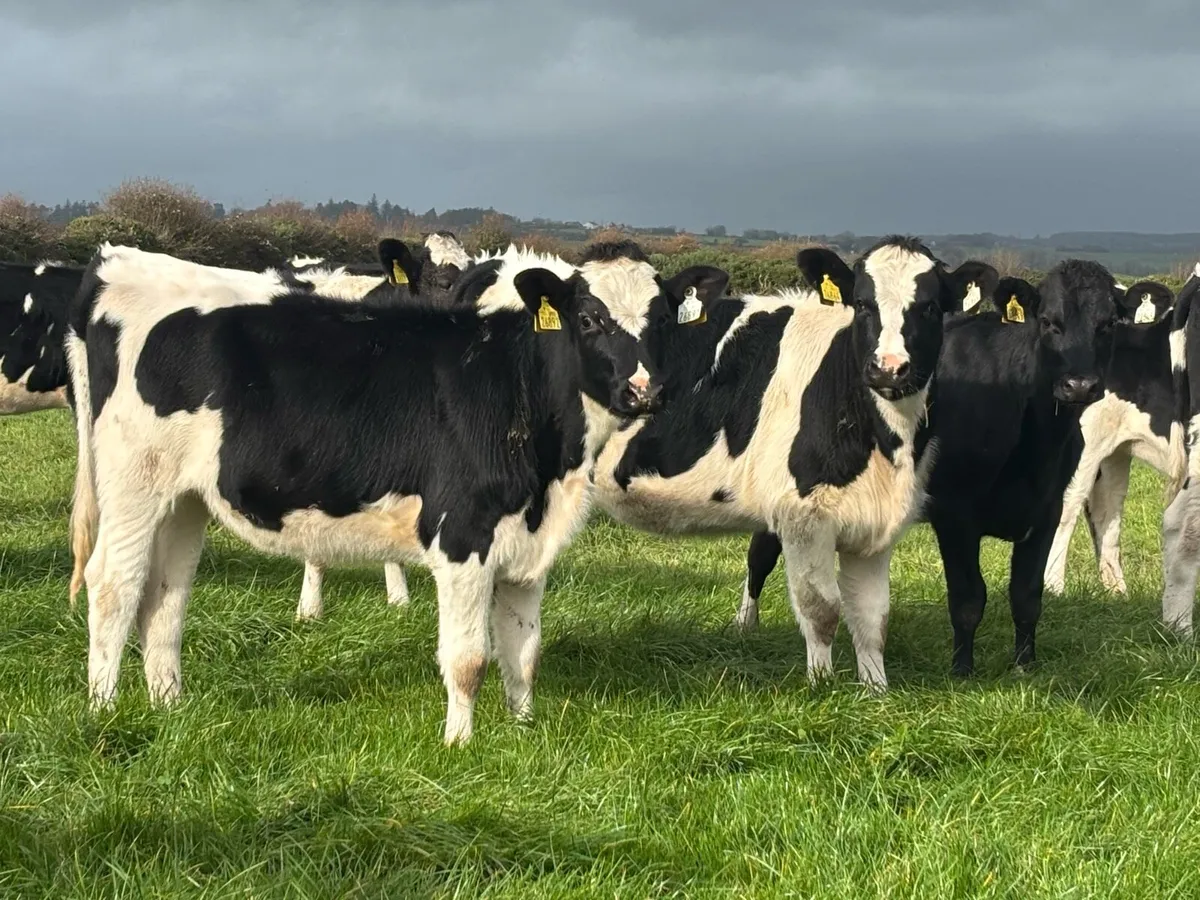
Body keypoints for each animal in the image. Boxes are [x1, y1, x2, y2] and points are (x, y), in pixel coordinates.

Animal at [71, 239, 726, 744]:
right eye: (588, 319)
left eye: (663, 320)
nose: (644, 390)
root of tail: (117, 264)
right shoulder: (463, 534)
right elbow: (468, 659)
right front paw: (460, 744)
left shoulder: (527, 541)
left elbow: (523, 651)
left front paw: (523, 731)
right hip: (133, 483)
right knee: (113, 584)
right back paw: (103, 710)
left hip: (183, 499)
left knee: (166, 594)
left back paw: (168, 705)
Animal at [591, 237, 996, 689]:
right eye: (863, 304)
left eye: (930, 307)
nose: (889, 369)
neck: (888, 443)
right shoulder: (804, 514)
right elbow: (821, 607)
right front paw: (821, 683)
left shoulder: (876, 520)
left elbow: (873, 617)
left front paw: (876, 688)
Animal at [735, 261, 1124, 677]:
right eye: (1049, 322)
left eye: (1108, 324)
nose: (1079, 385)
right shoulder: (955, 513)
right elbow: (968, 598)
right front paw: (962, 671)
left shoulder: (1047, 509)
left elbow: (1026, 596)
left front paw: (1024, 666)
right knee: (760, 554)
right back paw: (746, 623)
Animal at [1044, 280, 1177, 595]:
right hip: (1087, 440)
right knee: (1069, 503)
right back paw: (1053, 588)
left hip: (1115, 449)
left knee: (1108, 505)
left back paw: (1117, 593)